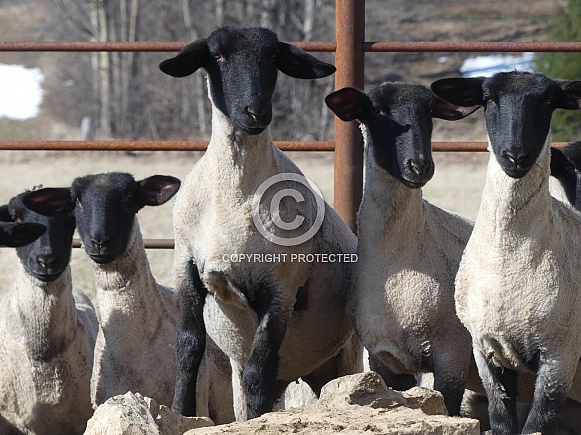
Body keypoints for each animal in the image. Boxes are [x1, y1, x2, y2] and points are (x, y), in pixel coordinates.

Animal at [159, 25, 362, 420]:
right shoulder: (185, 265)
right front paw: (183, 414)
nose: (255, 112)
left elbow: (259, 369)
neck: (234, 196)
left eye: (272, 56)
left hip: (343, 355)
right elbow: (188, 350)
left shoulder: (280, 287)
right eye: (217, 55)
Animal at [430, 70, 581, 434]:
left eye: (548, 101)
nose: (515, 156)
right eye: (489, 99)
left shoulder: (560, 353)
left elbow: (536, 424)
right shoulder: (486, 349)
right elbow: (500, 421)